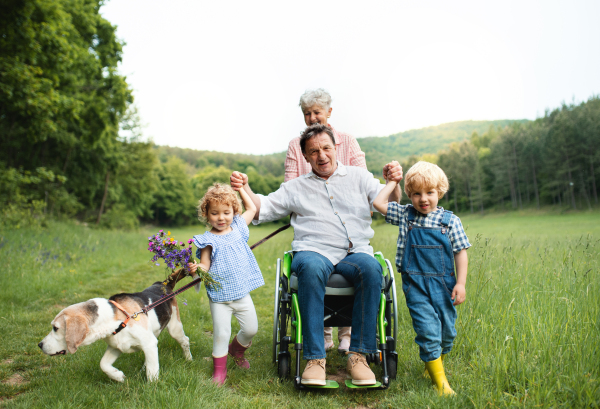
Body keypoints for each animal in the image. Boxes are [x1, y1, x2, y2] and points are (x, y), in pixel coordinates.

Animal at [38, 270, 192, 380]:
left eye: (55, 328)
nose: (39, 345)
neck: (116, 320)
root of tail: (164, 284)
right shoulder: (116, 346)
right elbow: (103, 365)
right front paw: (118, 376)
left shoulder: (149, 343)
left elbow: (152, 373)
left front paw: (152, 388)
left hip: (174, 328)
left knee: (185, 341)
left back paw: (188, 359)